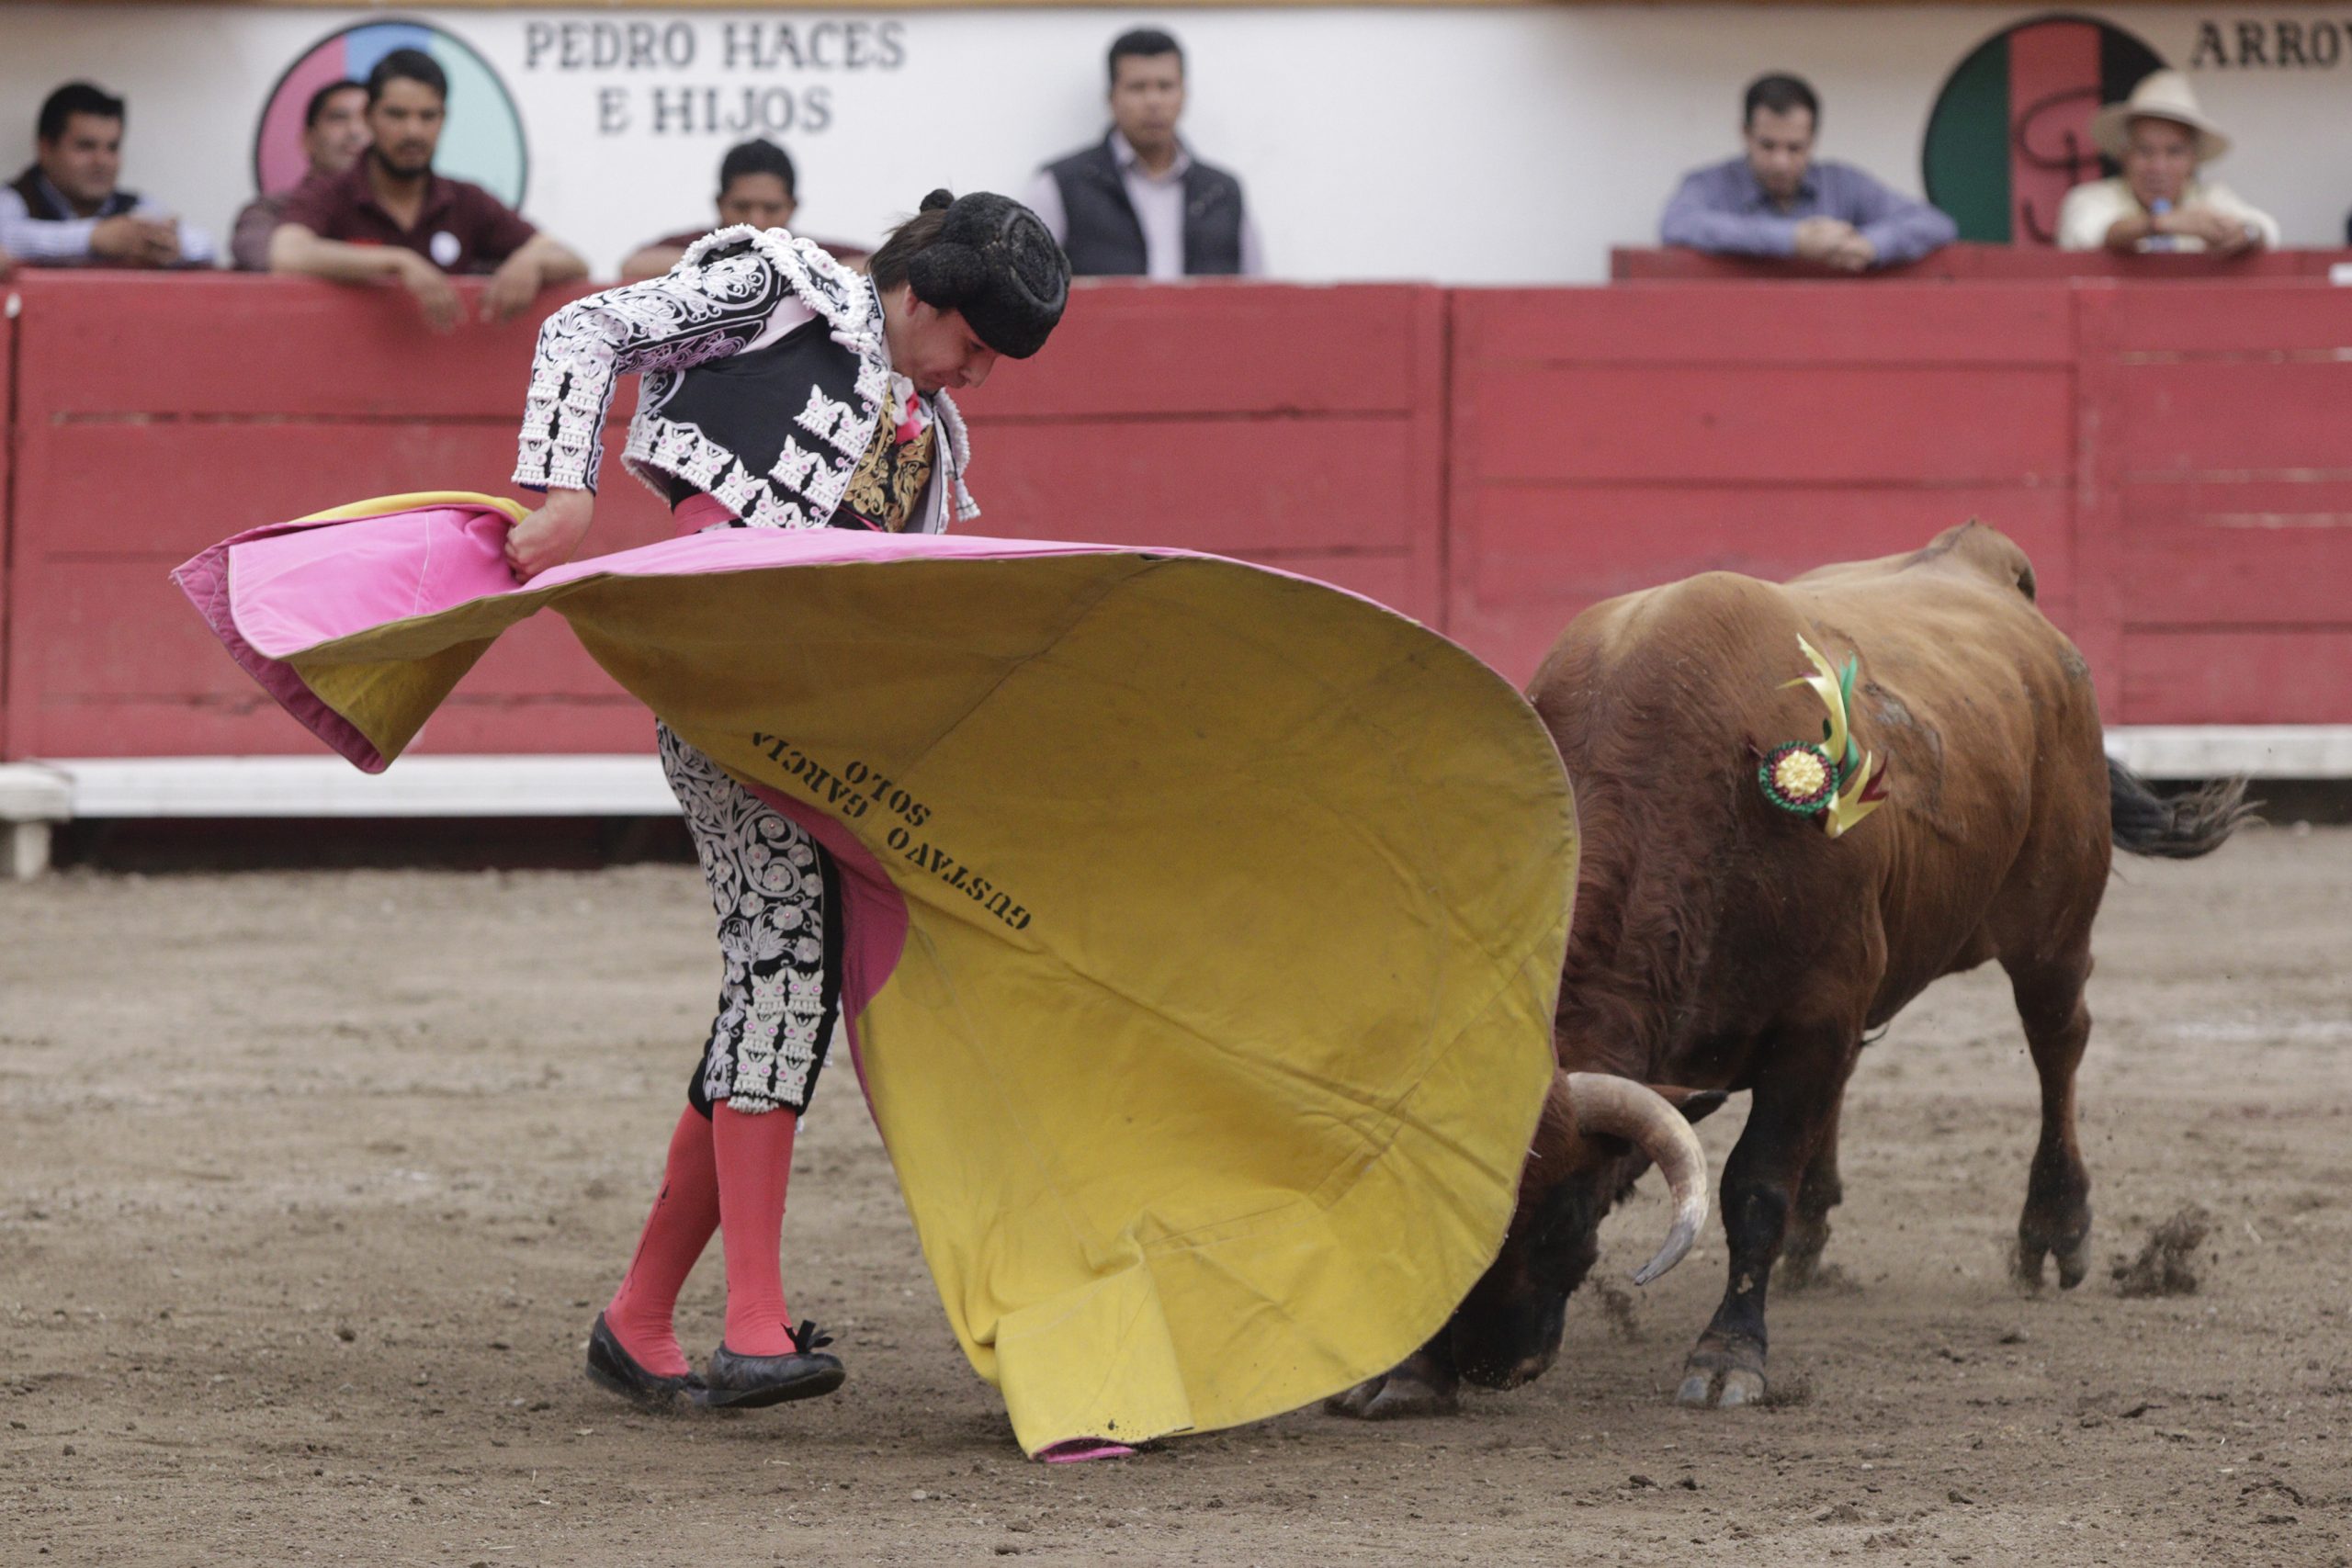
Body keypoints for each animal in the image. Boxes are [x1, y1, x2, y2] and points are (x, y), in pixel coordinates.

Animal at [1336, 522, 2248, 1419]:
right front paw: (1408, 1371)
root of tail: (1979, 556)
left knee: (2057, 1043)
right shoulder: (1816, 1013)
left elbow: (1755, 1185)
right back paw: (1816, 1237)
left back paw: (2054, 1229)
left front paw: (1728, 1357)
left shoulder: (1812, 1019)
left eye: (1566, 1214)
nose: (1491, 1362)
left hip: (2052, 927)